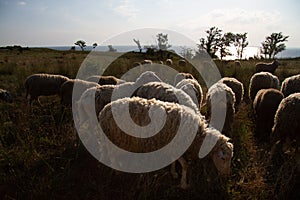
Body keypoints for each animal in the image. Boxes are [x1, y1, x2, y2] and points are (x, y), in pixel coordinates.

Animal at [97, 97, 233, 189]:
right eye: (223, 158)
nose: (226, 175)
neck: (197, 134)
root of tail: (104, 111)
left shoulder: (172, 146)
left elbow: (174, 161)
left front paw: (174, 173)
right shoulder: (177, 146)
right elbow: (185, 166)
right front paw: (184, 184)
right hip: (114, 139)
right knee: (112, 157)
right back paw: (118, 173)